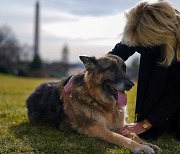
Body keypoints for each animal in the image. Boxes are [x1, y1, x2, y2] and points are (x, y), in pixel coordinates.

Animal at [26, 53, 160, 153]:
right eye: (111, 68)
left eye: (124, 68)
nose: (131, 84)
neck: (99, 101)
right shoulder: (95, 128)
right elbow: (119, 137)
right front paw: (140, 147)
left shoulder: (120, 126)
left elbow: (133, 134)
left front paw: (146, 143)